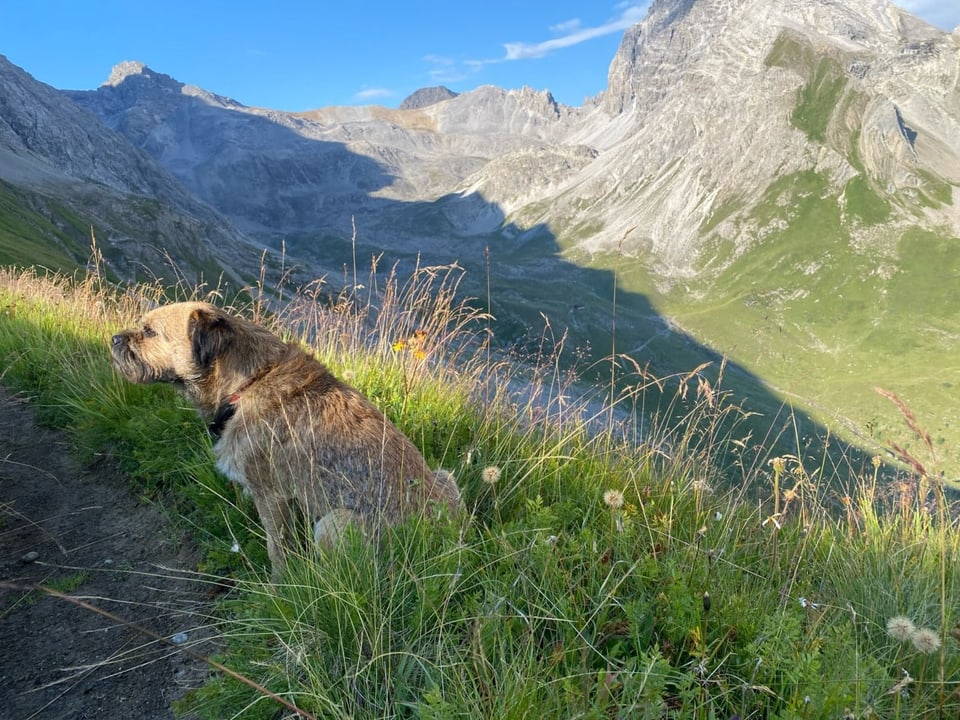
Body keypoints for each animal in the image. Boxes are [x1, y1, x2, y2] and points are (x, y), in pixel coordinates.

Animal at [109, 300, 462, 580]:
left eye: (149, 332)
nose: (113, 339)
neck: (248, 381)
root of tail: (446, 544)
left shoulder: (271, 496)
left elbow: (276, 546)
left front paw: (278, 585)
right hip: (446, 477)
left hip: (334, 523)